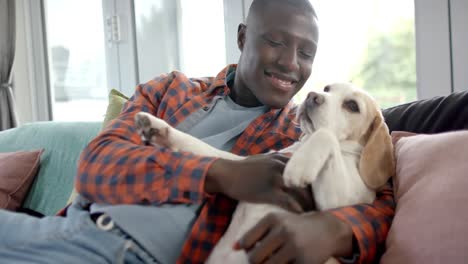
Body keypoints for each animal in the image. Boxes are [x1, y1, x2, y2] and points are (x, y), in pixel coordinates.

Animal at [134, 82, 394, 264]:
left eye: (352, 106)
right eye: (327, 89)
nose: (312, 96)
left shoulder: (338, 202)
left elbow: (325, 134)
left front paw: (300, 165)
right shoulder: (243, 162)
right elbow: (200, 146)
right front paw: (159, 129)